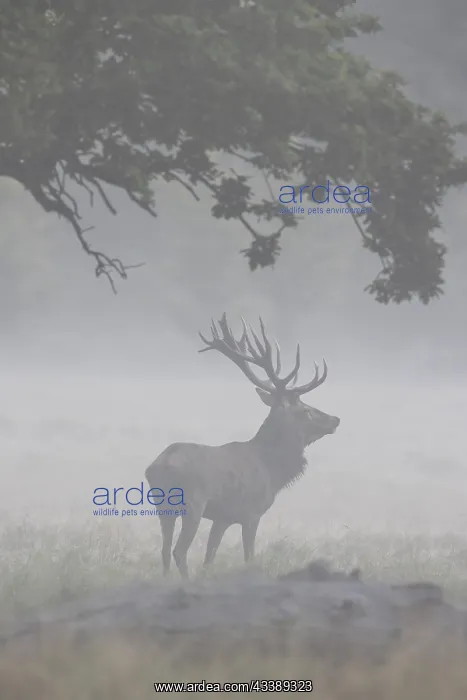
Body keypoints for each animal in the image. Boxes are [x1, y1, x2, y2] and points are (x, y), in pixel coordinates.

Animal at [145, 313, 340, 579]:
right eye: (306, 410)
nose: (335, 419)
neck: (272, 471)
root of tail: (160, 465)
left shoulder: (223, 518)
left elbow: (209, 557)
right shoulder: (251, 513)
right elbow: (249, 557)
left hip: (162, 505)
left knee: (164, 550)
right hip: (192, 503)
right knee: (178, 550)